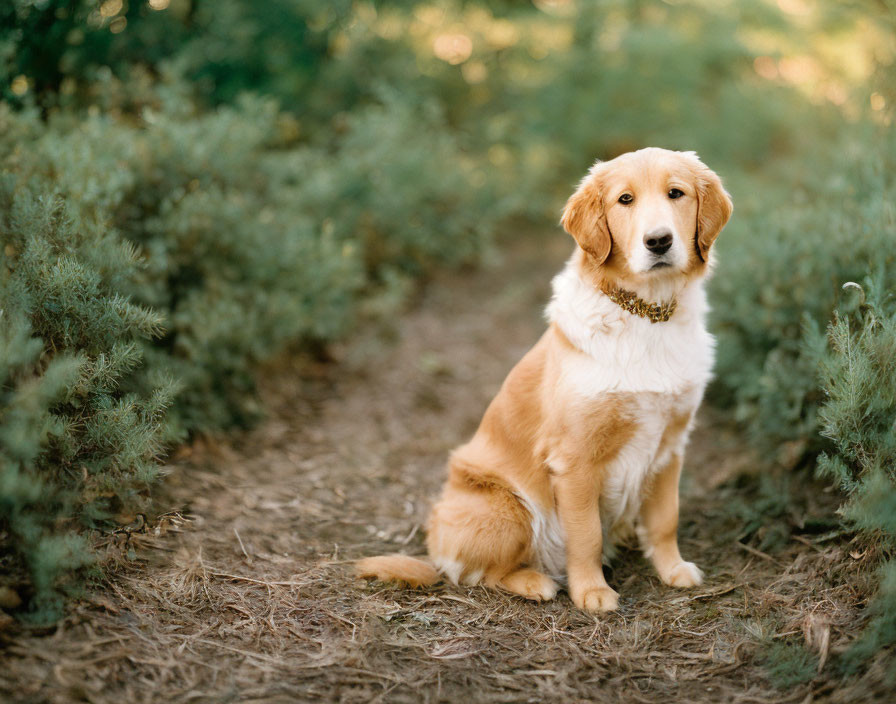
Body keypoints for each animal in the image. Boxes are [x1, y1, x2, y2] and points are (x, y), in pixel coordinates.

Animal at [360, 147, 732, 612]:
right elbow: (586, 536)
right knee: (479, 573)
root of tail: (433, 551)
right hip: (507, 508)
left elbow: (666, 519)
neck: (647, 313)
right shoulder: (575, 461)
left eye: (676, 193)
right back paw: (535, 582)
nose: (659, 241)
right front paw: (592, 592)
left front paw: (672, 569)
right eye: (624, 200)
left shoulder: (670, 445)